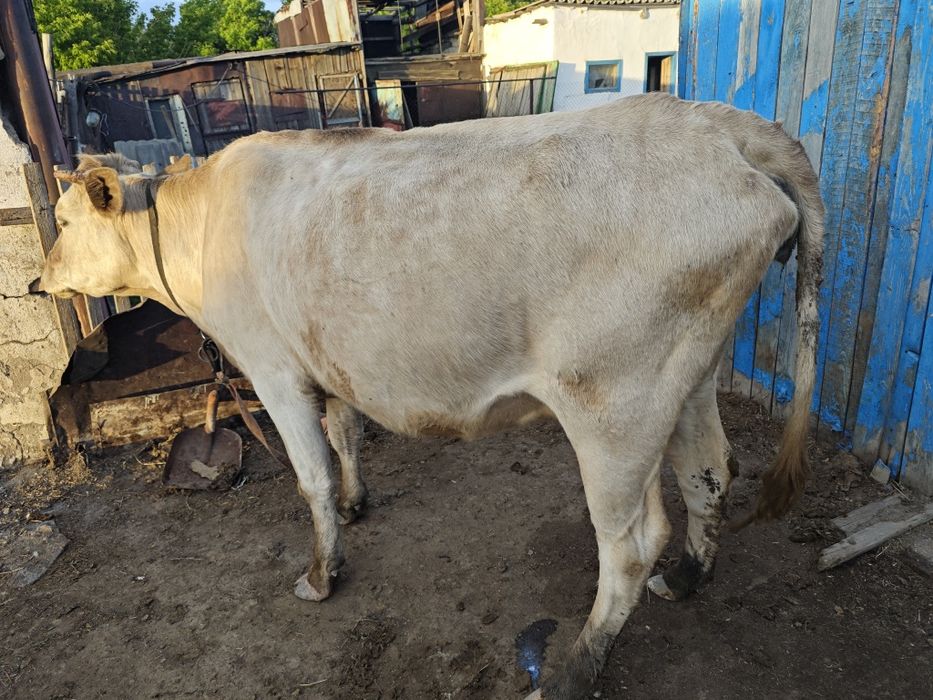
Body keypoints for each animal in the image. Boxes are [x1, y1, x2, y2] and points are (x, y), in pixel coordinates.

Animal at [31, 93, 823, 699]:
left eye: (64, 223)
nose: (39, 282)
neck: (195, 230)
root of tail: (712, 124)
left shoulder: (274, 370)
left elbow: (311, 478)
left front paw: (321, 573)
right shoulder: (332, 361)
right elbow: (346, 438)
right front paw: (357, 505)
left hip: (613, 400)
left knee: (630, 542)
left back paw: (576, 665)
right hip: (689, 376)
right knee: (710, 471)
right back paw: (687, 578)